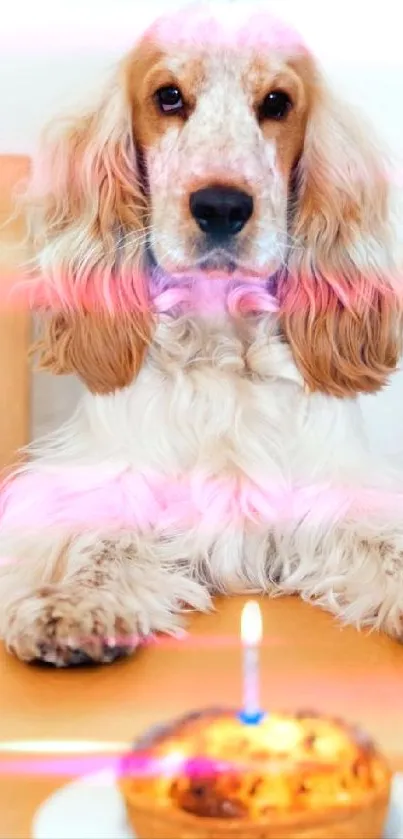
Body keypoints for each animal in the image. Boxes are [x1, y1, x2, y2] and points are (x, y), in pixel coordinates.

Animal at [0, 1, 403, 668]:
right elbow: (98, 541)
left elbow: (386, 542)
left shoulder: (333, 496)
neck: (219, 347)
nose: (221, 206)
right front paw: (72, 606)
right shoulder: (102, 479)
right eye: (168, 96)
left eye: (277, 102)